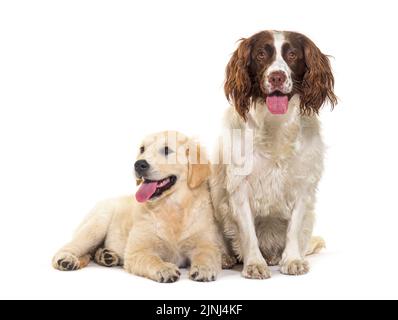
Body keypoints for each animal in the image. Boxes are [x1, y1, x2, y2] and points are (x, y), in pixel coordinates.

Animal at [51, 131, 222, 282]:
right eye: (142, 149)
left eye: (167, 150)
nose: (139, 164)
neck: (171, 206)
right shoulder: (138, 250)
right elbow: (152, 259)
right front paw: (165, 268)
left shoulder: (207, 243)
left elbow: (206, 255)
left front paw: (204, 268)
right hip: (95, 226)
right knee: (71, 247)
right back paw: (66, 259)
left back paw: (106, 256)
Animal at [210, 31, 338, 278]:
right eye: (261, 54)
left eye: (293, 54)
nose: (277, 77)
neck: (275, 125)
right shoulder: (239, 188)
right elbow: (248, 232)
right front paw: (254, 264)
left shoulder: (303, 185)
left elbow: (294, 227)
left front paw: (293, 260)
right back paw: (226, 258)